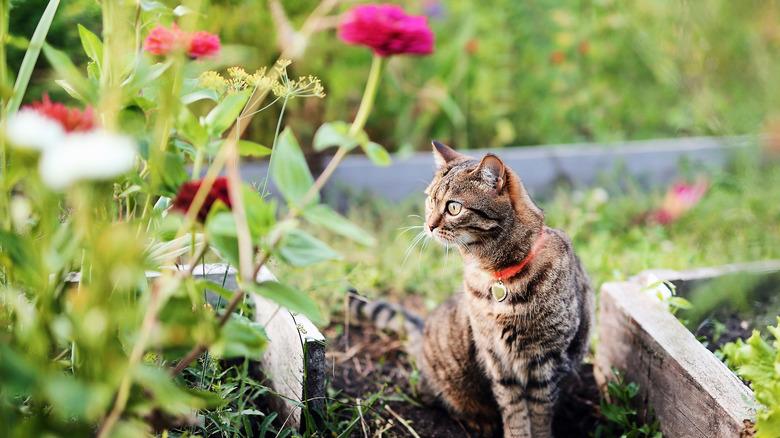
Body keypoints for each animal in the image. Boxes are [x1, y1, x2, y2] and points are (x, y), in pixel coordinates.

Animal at [350, 142, 596, 436]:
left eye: (454, 207)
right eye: (430, 200)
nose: (428, 225)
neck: (499, 276)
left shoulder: (547, 360)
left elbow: (540, 412)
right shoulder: (496, 358)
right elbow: (514, 410)